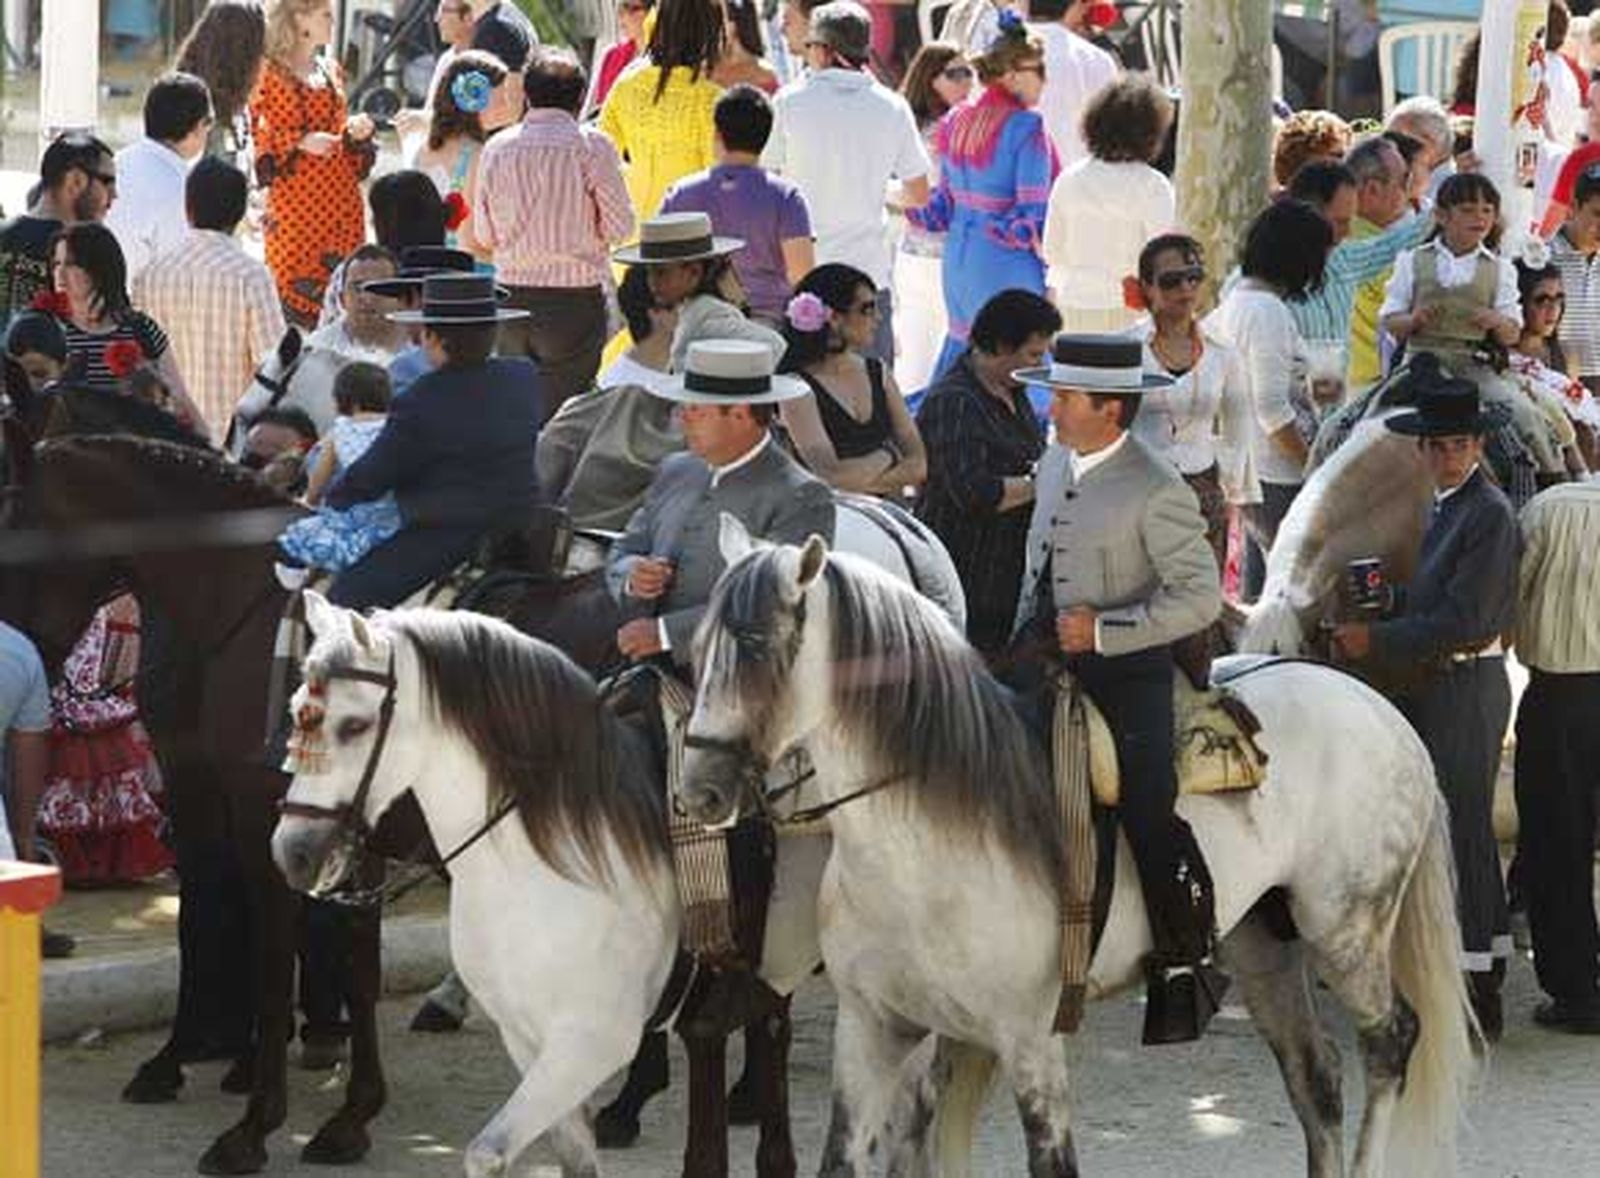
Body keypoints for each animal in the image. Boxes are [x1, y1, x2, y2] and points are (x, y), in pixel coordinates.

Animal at [676, 522, 1478, 1177]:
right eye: (698, 649)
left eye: (757, 647)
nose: (699, 792)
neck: (921, 843)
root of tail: (1381, 712)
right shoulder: (873, 1027)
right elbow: (848, 1159)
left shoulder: (1028, 1037)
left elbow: (1050, 1160)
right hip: (1262, 943)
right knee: (1316, 1078)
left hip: (1346, 930)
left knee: (1389, 1043)